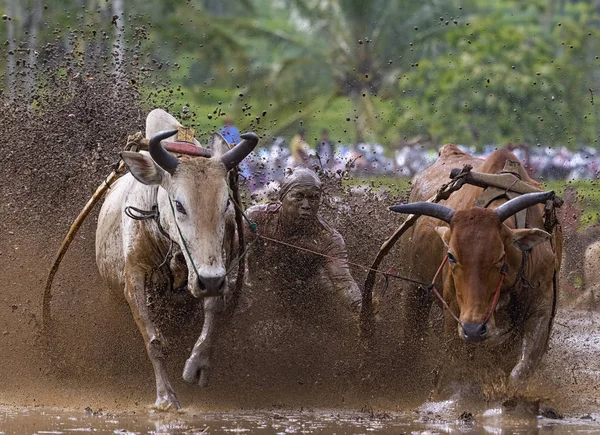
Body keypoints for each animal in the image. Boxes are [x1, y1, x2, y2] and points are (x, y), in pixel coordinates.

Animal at [95, 108, 258, 408]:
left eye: (226, 203)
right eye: (179, 205)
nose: (209, 281)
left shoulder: (218, 268)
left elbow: (214, 309)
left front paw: (198, 364)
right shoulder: (134, 277)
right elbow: (154, 341)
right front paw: (166, 397)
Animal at [392, 146, 560, 396]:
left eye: (500, 257)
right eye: (451, 255)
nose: (473, 329)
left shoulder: (541, 307)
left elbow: (521, 368)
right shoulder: (454, 313)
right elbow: (458, 364)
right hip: (415, 288)